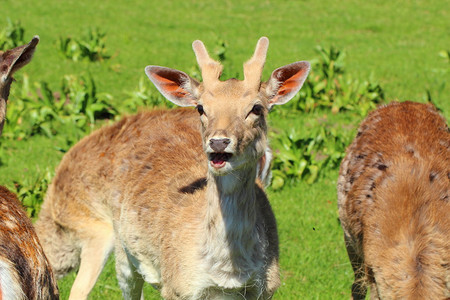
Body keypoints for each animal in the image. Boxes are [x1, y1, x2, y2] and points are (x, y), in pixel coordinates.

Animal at [34, 36, 310, 298]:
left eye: (256, 108)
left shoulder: (266, 287)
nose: (218, 142)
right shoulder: (177, 287)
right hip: (124, 249)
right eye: (201, 108)